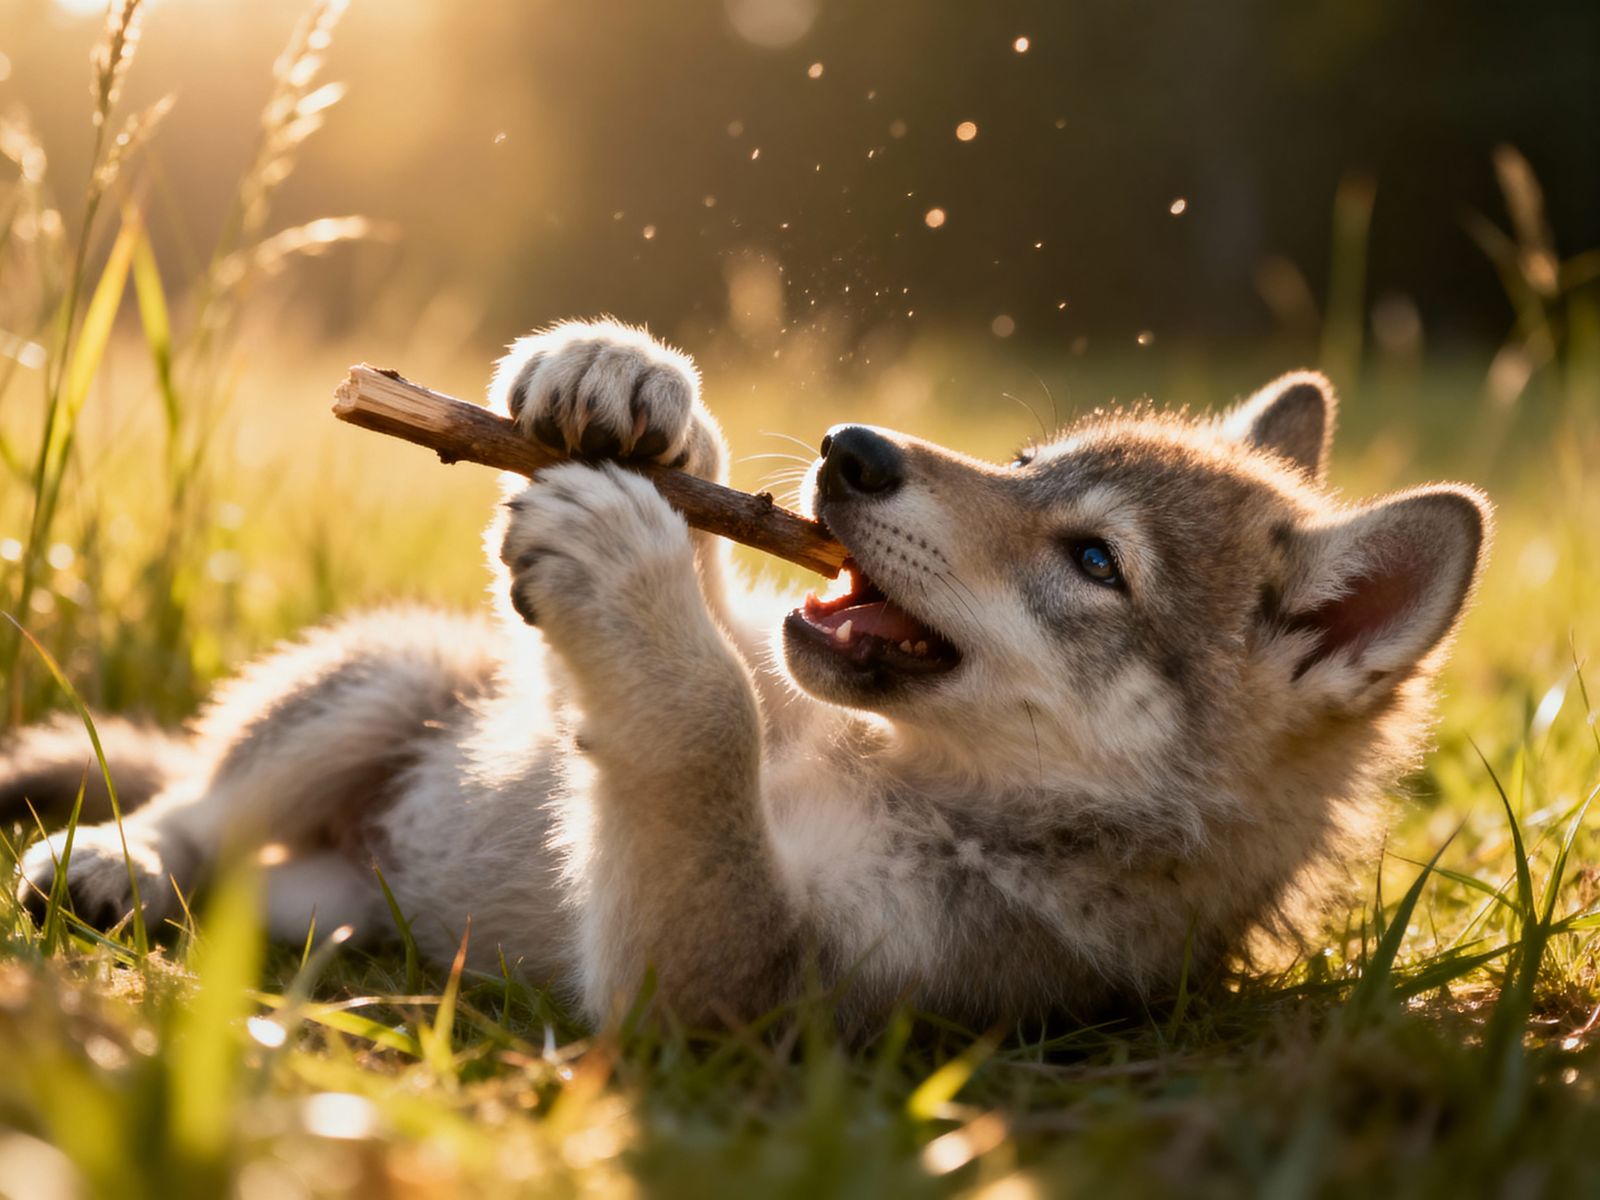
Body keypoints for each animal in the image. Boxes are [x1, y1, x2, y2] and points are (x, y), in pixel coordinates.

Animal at [5, 320, 1490, 1031]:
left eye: (1093, 561)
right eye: (1024, 464)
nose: (855, 449)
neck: (886, 770)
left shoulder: (745, 1001)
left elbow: (700, 725)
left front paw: (630, 571)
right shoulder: (746, 681)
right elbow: (727, 640)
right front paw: (627, 379)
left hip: (349, 889)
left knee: (240, 869)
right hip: (376, 684)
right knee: (201, 805)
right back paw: (117, 862)